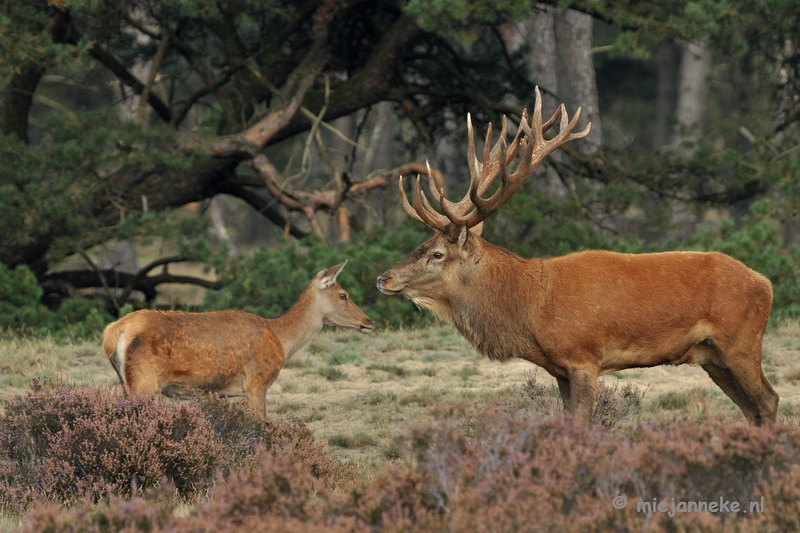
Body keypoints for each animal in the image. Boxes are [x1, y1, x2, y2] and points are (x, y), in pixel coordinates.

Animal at [104, 260, 376, 414]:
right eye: (343, 294)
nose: (369, 321)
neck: (281, 339)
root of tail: (113, 332)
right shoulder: (257, 382)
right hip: (144, 380)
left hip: (125, 382)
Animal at [378, 89, 780, 426]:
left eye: (436, 253)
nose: (384, 278)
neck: (531, 309)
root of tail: (766, 283)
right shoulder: (558, 369)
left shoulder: (584, 356)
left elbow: (584, 422)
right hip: (712, 357)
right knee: (751, 408)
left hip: (741, 342)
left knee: (768, 400)